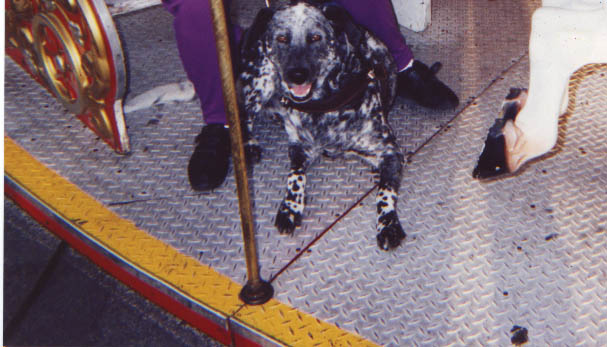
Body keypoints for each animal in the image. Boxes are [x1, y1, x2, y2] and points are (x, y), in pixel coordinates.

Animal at [240, 0, 406, 250]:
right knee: (245, 113)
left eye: (316, 37)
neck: (323, 107)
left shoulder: (390, 151)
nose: (296, 75)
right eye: (281, 38)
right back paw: (250, 142)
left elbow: (385, 192)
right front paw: (290, 207)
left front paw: (388, 224)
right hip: (261, 80)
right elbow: (295, 177)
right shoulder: (299, 147)